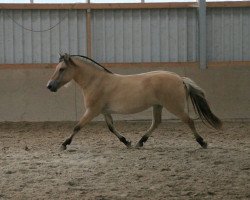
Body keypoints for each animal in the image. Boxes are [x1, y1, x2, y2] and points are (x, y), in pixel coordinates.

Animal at [47, 53, 223, 150]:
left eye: (62, 69)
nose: (49, 86)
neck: (96, 81)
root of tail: (180, 78)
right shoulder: (104, 112)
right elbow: (111, 128)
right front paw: (127, 142)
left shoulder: (92, 111)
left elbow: (77, 127)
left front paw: (64, 144)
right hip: (158, 106)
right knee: (156, 123)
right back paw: (140, 142)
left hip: (174, 106)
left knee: (189, 121)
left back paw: (202, 142)